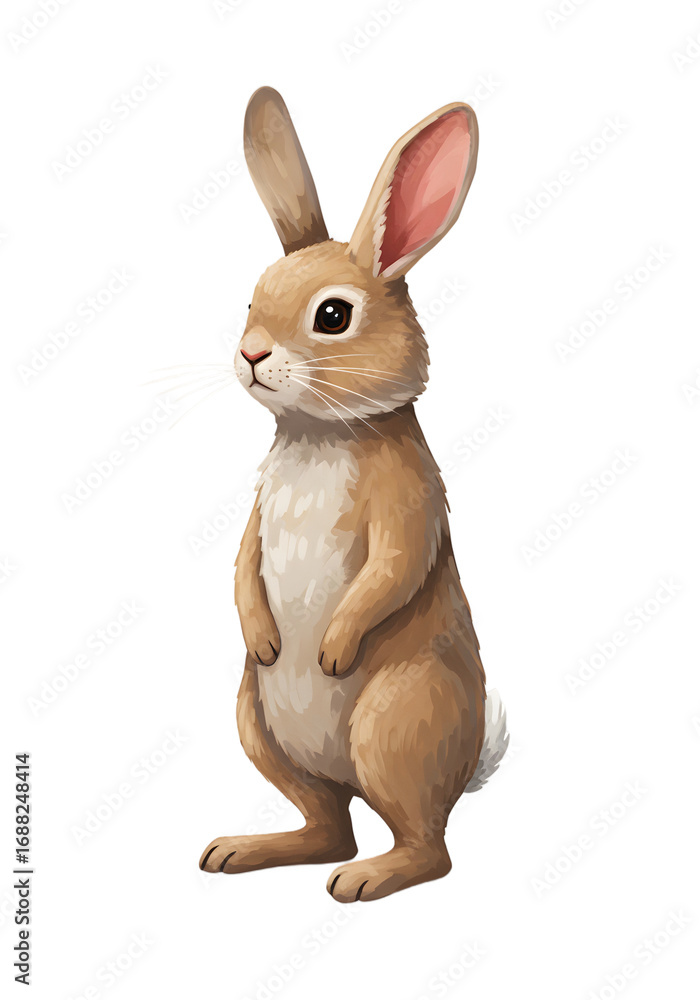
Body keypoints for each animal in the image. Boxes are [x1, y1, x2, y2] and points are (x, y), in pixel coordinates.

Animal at [199, 87, 508, 902]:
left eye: (332, 315)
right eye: (251, 302)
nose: (250, 355)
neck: (323, 432)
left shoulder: (407, 504)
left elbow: (393, 569)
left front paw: (332, 650)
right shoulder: (257, 516)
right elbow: (242, 568)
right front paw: (266, 639)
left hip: (394, 722)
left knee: (426, 847)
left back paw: (366, 879)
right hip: (257, 724)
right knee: (327, 825)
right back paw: (242, 850)